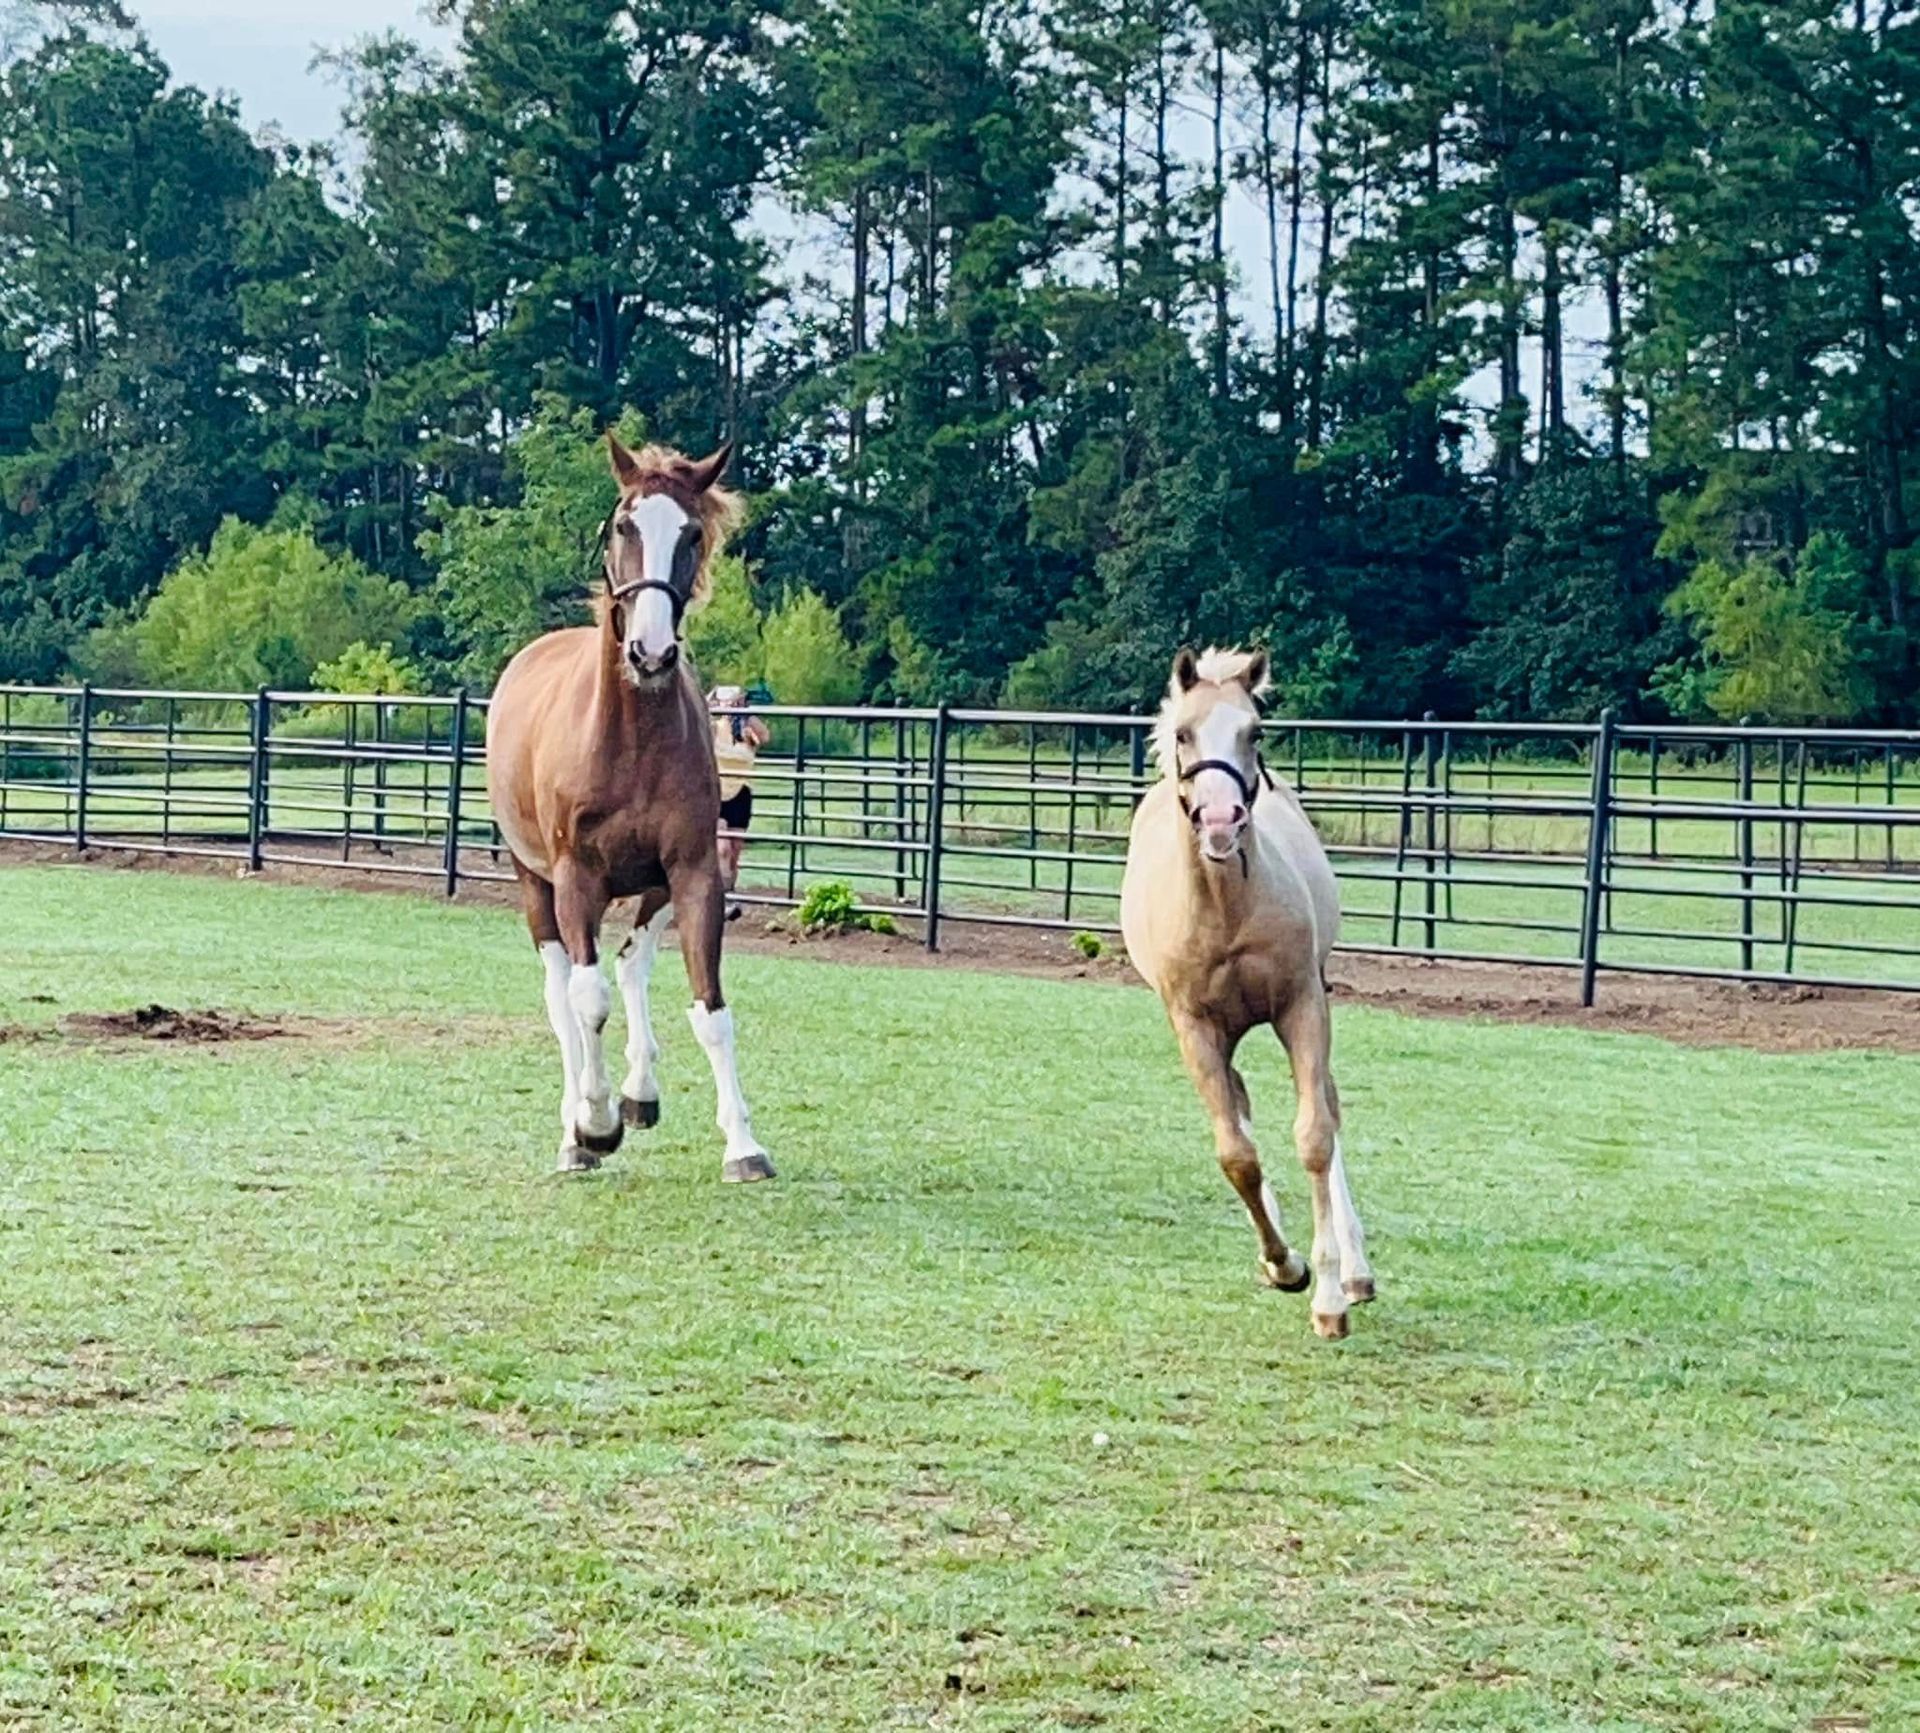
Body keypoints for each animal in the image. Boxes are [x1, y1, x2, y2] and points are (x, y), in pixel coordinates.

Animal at [484, 434, 775, 1184]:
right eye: (624, 526)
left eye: (693, 533)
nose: (651, 651)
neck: (630, 738)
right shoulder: (575, 879)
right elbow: (586, 1002)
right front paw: (594, 1124)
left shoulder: (695, 870)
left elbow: (711, 1009)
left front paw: (743, 1144)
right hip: (537, 884)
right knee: (564, 993)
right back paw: (578, 1128)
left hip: (654, 884)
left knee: (632, 958)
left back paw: (640, 1090)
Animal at [1120, 647, 1373, 1338]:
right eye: (1184, 733)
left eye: (1254, 732)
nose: (1219, 821)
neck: (1225, 910)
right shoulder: (1194, 1028)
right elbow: (1237, 1155)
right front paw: (1284, 1264)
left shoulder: (1301, 1006)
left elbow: (1315, 1136)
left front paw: (1329, 1296)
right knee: (1240, 1108)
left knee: (1327, 1109)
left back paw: (1357, 1271)